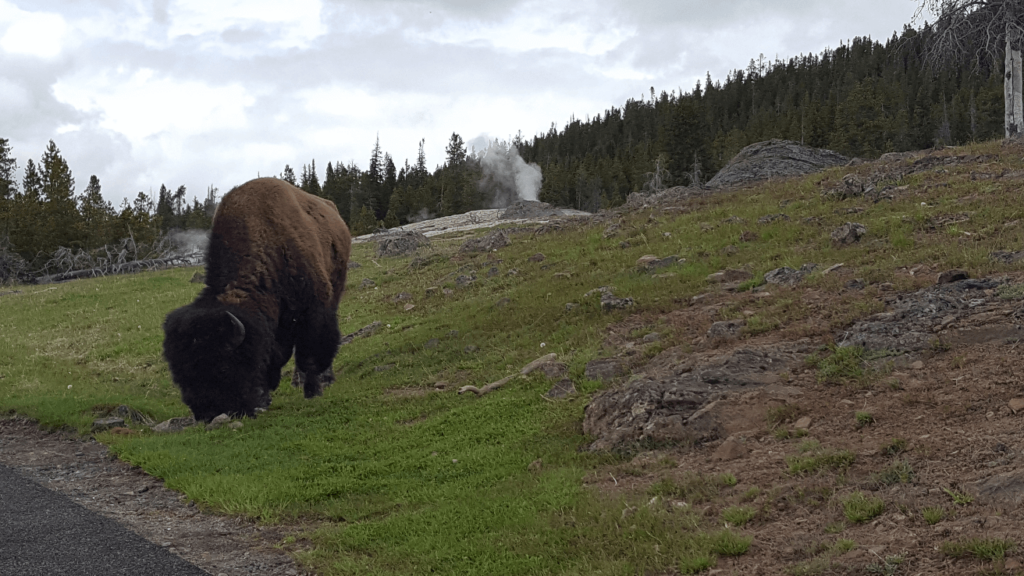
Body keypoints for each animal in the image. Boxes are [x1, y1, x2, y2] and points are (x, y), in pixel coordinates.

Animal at [163, 178, 351, 422]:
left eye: (223, 367)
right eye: (180, 374)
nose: (207, 414)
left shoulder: (313, 310)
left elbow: (310, 354)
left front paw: (313, 392)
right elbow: (274, 357)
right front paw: (265, 398)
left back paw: (322, 380)